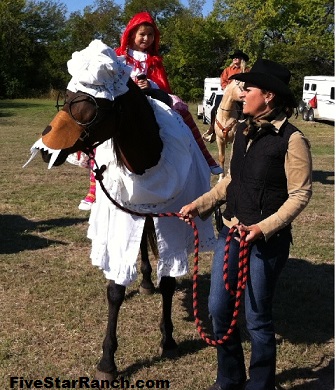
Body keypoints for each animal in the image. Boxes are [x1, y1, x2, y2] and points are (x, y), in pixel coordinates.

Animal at [25, 40, 215, 384]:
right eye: (67, 98)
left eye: (89, 104)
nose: (45, 149)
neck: (150, 158)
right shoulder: (122, 221)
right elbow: (115, 289)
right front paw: (107, 361)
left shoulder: (174, 226)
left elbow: (170, 281)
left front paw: (168, 339)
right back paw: (145, 281)